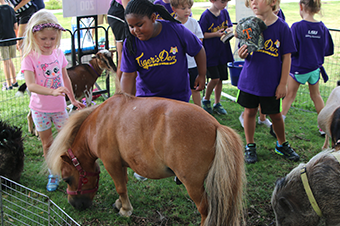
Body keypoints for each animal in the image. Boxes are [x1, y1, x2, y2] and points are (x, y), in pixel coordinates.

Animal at [46, 92, 246, 225]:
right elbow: (124, 183)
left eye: (67, 179)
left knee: (205, 210)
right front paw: (120, 203)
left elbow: (120, 187)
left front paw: (125, 209)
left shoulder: (111, 163)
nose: (74, 205)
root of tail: (216, 126)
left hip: (193, 185)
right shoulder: (120, 164)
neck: (99, 122)